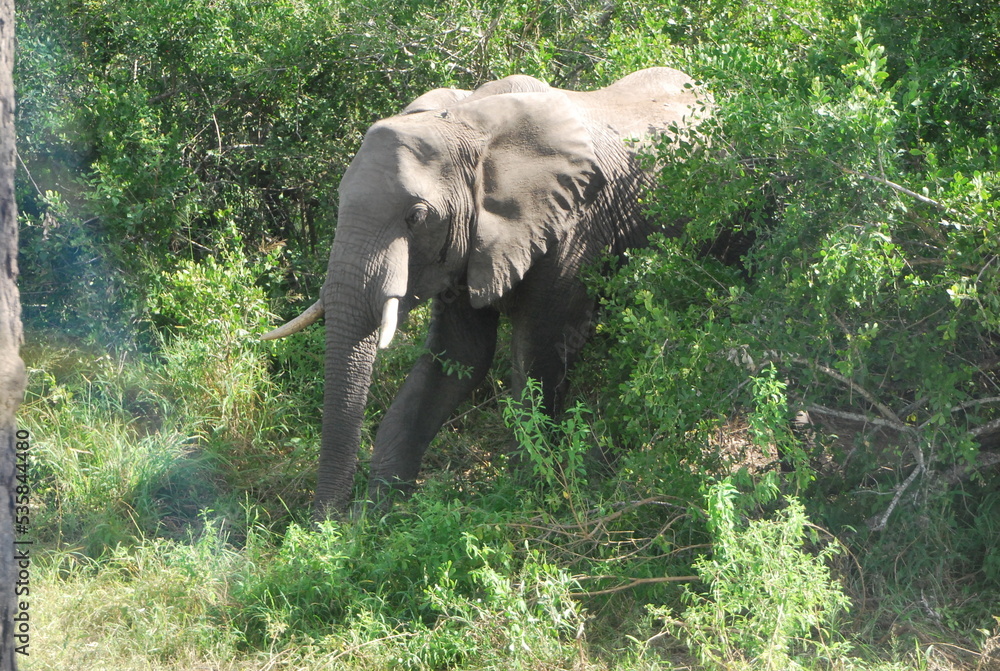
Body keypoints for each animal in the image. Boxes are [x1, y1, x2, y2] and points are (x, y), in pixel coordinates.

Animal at [262, 67, 710, 517]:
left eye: (417, 217)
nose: (326, 519)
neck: (471, 125)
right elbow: (459, 355)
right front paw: (382, 515)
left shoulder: (574, 228)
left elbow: (541, 348)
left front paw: (528, 495)